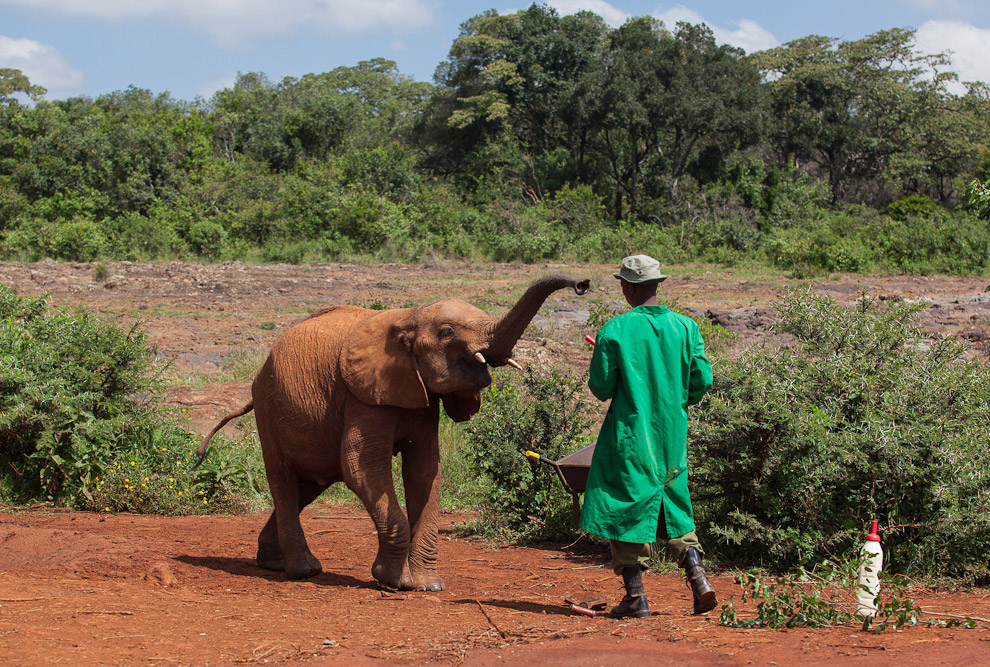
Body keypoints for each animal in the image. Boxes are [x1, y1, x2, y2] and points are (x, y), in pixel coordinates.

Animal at [194, 274, 588, 592]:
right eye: (447, 333)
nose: (582, 284)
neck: (407, 317)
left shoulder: (422, 397)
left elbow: (425, 471)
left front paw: (429, 586)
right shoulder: (363, 396)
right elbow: (362, 467)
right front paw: (393, 581)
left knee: (308, 484)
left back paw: (271, 562)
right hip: (269, 409)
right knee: (285, 480)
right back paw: (303, 571)